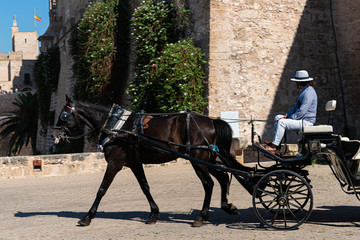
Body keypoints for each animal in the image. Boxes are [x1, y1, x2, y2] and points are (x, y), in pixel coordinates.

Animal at [52, 95, 256, 227]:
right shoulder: (134, 163)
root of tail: (211, 121)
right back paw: (226, 207)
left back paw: (201, 216)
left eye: (63, 115)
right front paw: (153, 214)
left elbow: (101, 189)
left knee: (209, 183)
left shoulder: (115, 163)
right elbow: (145, 187)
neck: (117, 127)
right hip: (207, 159)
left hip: (198, 160)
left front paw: (87, 216)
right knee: (222, 178)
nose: (53, 134)